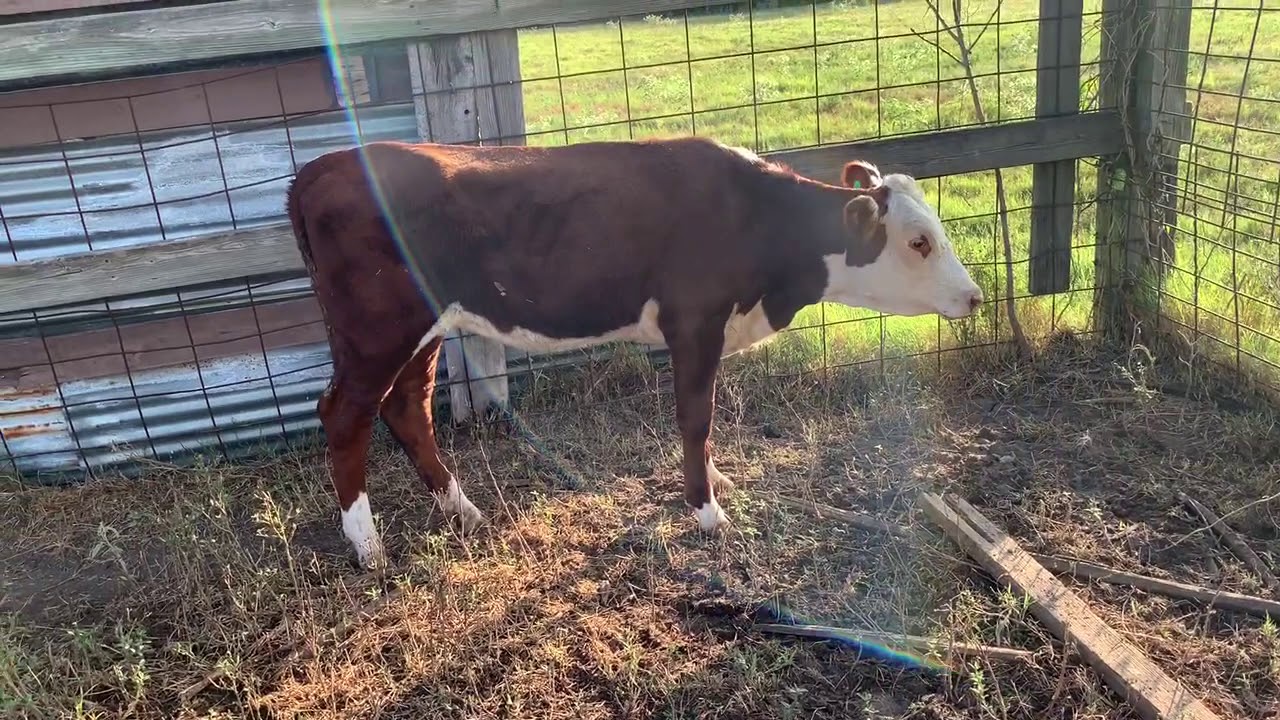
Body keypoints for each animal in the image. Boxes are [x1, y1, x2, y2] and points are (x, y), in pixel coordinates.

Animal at [285, 135, 983, 570]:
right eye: (919, 242)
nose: (975, 296)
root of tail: (329, 164)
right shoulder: (695, 321)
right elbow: (696, 418)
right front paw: (707, 511)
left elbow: (705, 422)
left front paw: (718, 482)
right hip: (379, 328)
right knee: (346, 415)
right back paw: (369, 546)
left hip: (425, 325)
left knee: (408, 406)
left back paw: (464, 510)